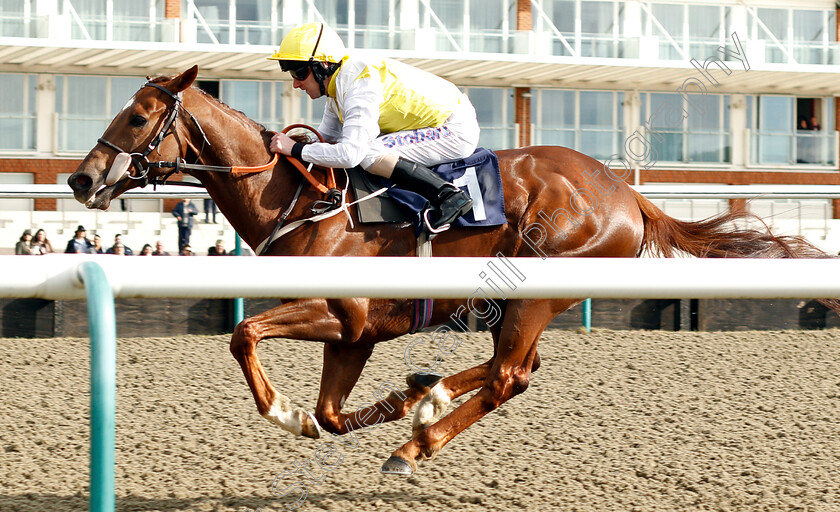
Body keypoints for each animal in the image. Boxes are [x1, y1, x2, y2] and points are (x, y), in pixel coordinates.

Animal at [67, 67, 840, 476]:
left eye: (138, 116)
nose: (80, 180)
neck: (300, 201)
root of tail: (627, 193)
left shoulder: (339, 314)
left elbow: (245, 337)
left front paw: (287, 414)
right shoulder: (358, 334)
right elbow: (332, 413)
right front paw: (399, 397)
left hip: (535, 294)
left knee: (508, 377)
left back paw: (419, 443)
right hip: (512, 305)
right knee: (512, 370)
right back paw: (427, 396)